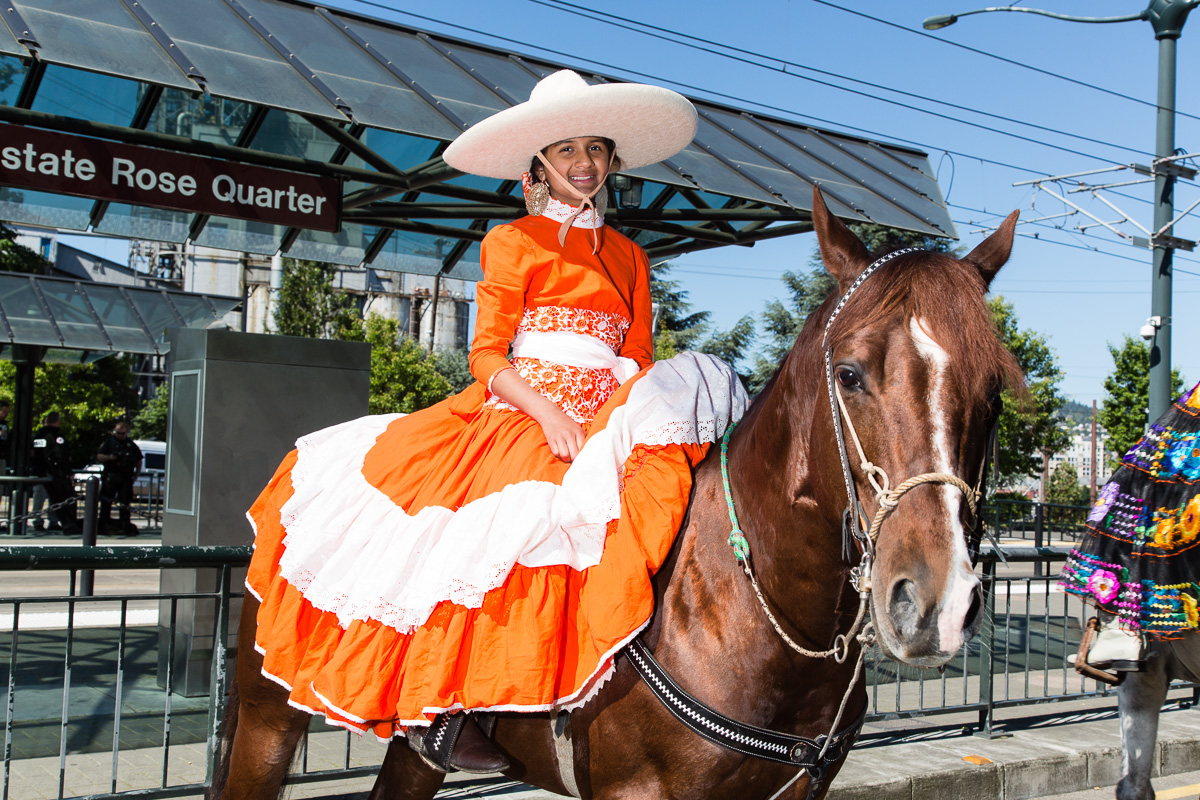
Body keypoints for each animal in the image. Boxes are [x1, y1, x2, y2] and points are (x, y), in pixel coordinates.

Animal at [213, 190, 1022, 800]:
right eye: (850, 373)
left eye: (994, 393)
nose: (936, 604)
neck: (745, 605)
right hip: (266, 717)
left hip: (412, 746)